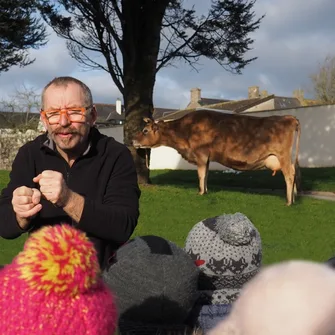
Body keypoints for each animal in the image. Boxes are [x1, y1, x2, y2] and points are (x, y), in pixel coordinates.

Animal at [133, 110, 302, 205]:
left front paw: (200, 192)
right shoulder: (207, 157)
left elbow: (201, 174)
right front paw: (206, 191)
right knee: (294, 172)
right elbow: (206, 174)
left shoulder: (201, 154)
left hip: (282, 155)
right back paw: (294, 197)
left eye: (145, 130)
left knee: (289, 174)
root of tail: (290, 118)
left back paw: (288, 202)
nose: (133, 141)